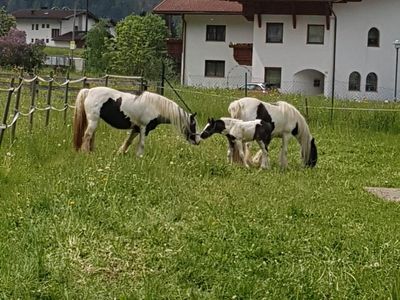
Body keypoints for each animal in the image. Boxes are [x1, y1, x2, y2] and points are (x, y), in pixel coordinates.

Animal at [72, 86, 200, 155]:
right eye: (193, 125)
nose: (197, 141)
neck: (156, 106)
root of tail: (88, 91)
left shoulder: (136, 129)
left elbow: (128, 142)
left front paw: (120, 154)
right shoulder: (144, 128)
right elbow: (142, 144)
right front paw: (139, 158)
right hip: (93, 121)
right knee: (87, 136)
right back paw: (85, 153)